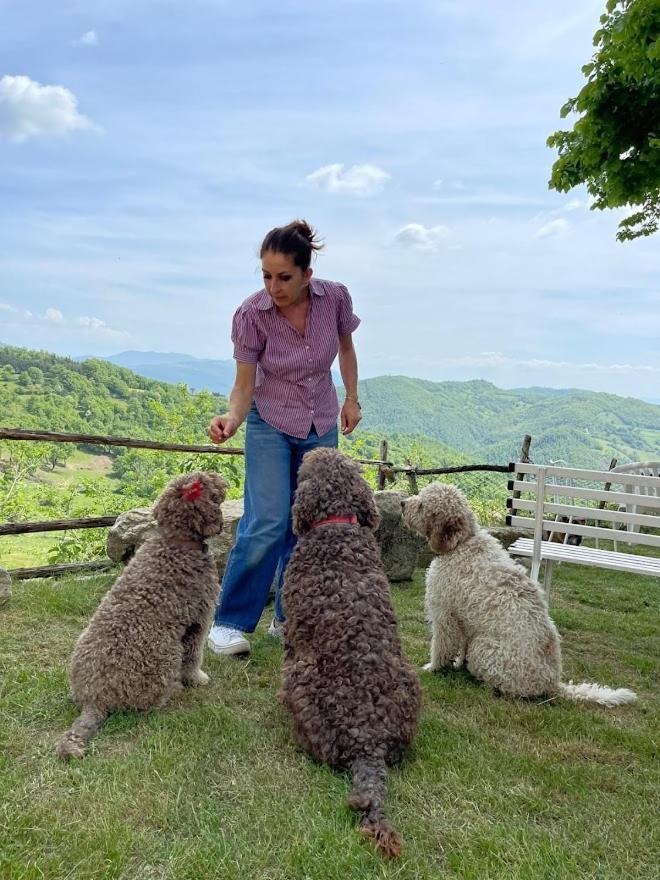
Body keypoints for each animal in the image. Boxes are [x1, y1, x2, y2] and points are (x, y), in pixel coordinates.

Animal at [54, 470, 229, 760]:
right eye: (204, 481)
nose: (219, 477)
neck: (175, 542)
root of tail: (94, 699)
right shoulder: (199, 619)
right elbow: (194, 656)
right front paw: (197, 679)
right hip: (166, 654)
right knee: (149, 704)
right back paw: (171, 692)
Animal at [282, 450, 420, 856]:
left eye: (304, 470)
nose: (311, 451)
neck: (336, 526)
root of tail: (368, 740)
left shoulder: (294, 636)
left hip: (300, 679)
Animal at [400, 482, 636, 708]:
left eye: (421, 505)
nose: (402, 503)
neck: (462, 543)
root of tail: (552, 682)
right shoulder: (465, 623)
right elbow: (460, 647)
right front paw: (457, 664)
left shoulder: (444, 615)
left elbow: (441, 646)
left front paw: (433, 667)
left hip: (483, 648)